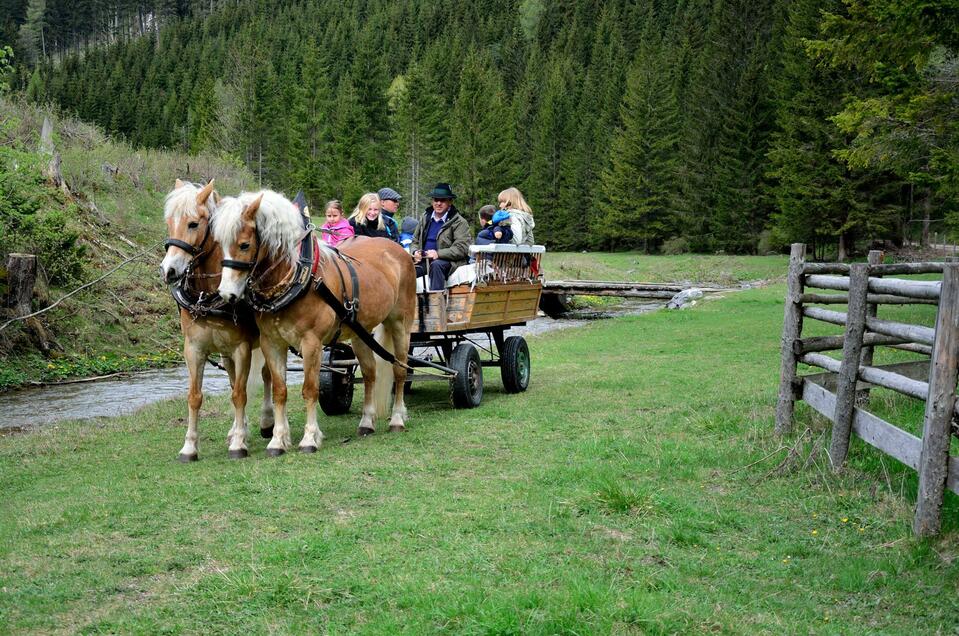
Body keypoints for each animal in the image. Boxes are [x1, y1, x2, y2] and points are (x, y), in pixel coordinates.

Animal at [160, 179, 274, 462]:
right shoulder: (194, 349)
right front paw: (190, 446)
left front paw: (239, 444)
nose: (168, 270)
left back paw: (267, 422)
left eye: (193, 224)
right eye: (169, 222)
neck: (207, 296)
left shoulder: (242, 348)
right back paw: (237, 429)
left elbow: (240, 394)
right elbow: (195, 396)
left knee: (267, 375)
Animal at [214, 186, 416, 454]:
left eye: (245, 245)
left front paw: (310, 438)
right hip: (361, 331)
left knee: (400, 370)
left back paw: (397, 418)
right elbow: (279, 391)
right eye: (218, 245)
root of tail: (398, 250)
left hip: (401, 324)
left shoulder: (312, 343)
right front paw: (277, 440)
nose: (226, 294)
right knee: (370, 374)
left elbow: (310, 390)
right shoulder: (272, 343)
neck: (299, 276)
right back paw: (366, 422)